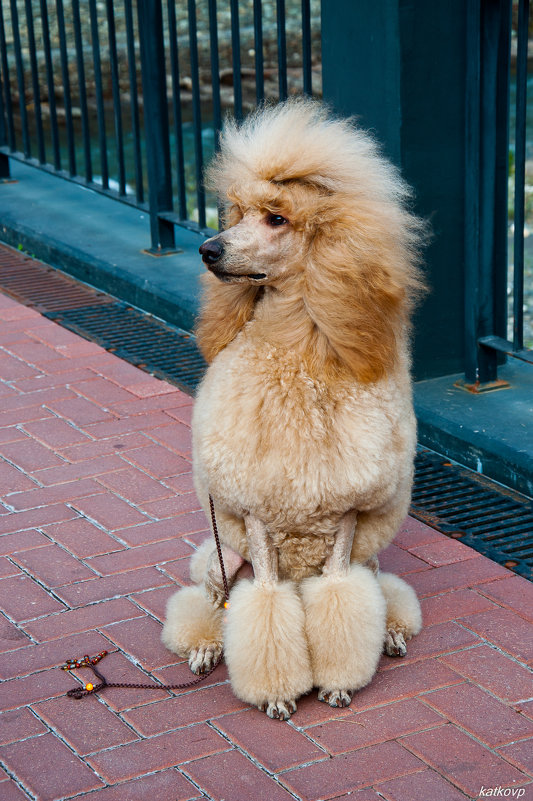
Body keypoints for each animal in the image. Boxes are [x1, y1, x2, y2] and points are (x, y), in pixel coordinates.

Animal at [162, 98, 424, 720]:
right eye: (238, 212)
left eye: (277, 218)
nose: (209, 249)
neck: (298, 349)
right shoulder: (256, 516)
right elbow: (263, 603)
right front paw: (277, 693)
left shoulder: (348, 518)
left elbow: (342, 599)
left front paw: (337, 683)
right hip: (223, 559)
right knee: (209, 603)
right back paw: (205, 648)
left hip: (366, 560)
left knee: (382, 594)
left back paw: (392, 632)